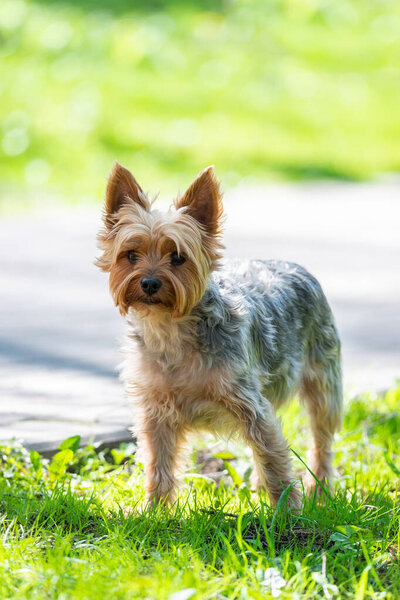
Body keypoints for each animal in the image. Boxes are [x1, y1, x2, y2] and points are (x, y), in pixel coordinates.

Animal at [95, 163, 342, 506]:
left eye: (178, 257)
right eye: (131, 254)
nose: (149, 283)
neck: (171, 330)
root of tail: (294, 265)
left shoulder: (251, 405)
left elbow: (273, 457)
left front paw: (288, 511)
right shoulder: (156, 412)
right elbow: (159, 463)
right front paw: (153, 510)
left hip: (324, 379)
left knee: (321, 437)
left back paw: (319, 490)